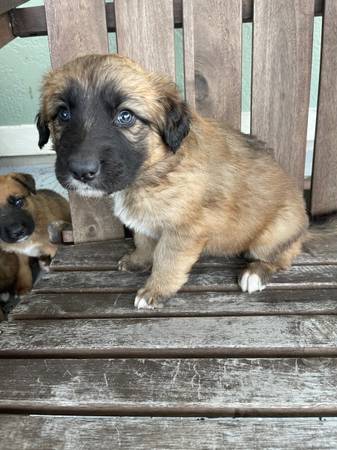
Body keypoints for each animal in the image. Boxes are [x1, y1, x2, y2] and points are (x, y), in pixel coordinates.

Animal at [36, 51, 310, 306]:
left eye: (125, 116)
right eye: (63, 114)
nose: (82, 171)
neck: (156, 168)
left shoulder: (184, 230)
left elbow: (166, 260)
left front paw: (155, 290)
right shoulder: (147, 222)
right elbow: (143, 240)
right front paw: (138, 260)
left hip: (274, 232)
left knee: (283, 255)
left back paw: (255, 273)